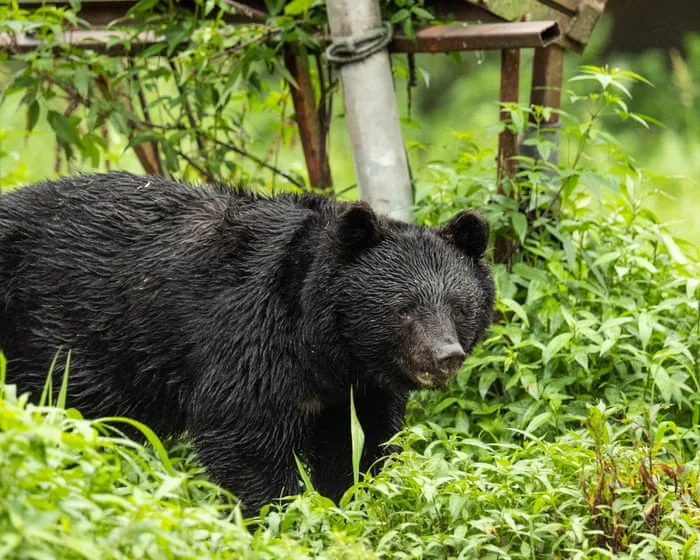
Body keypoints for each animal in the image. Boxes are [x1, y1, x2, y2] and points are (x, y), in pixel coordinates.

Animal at [0, 171, 495, 514]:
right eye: (403, 308)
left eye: (458, 308)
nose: (444, 356)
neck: (322, 344)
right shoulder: (249, 335)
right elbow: (244, 435)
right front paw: (283, 514)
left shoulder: (358, 387)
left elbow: (362, 443)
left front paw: (348, 501)